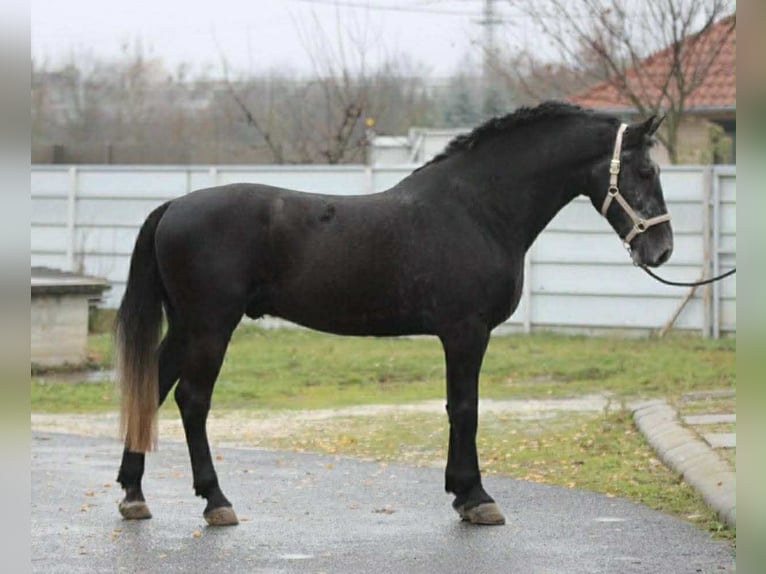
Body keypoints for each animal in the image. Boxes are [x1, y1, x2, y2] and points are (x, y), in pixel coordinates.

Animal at [114, 101, 673, 527]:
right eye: (646, 171)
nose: (662, 250)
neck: (477, 209)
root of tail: (174, 205)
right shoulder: (466, 332)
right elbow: (465, 408)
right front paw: (476, 498)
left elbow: (457, 407)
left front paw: (462, 494)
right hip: (211, 326)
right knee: (192, 400)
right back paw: (216, 501)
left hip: (186, 326)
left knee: (153, 387)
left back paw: (134, 494)